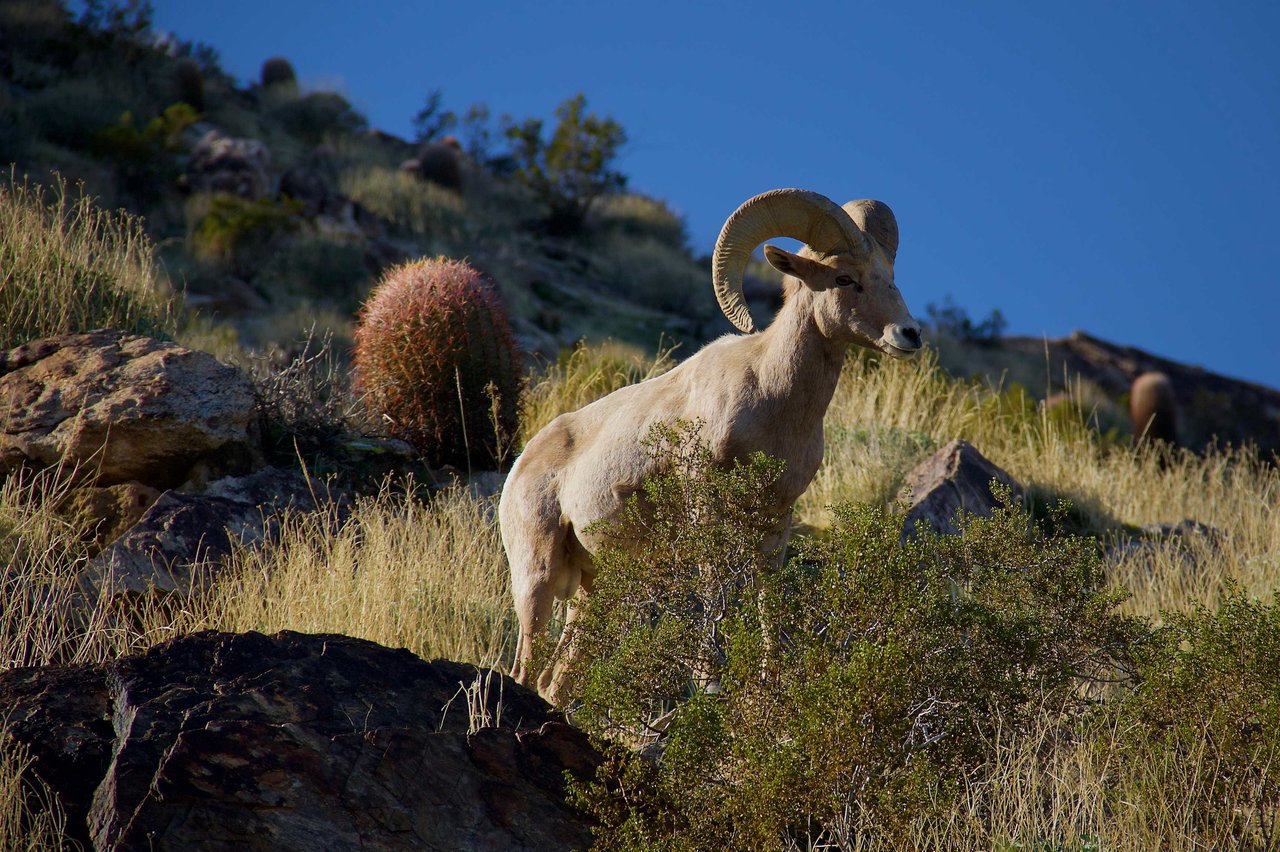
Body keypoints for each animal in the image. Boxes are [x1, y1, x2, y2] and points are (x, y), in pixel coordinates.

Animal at [494, 188, 926, 695]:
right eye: (844, 278)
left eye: (888, 276)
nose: (909, 334)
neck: (771, 398)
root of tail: (522, 465)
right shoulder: (705, 503)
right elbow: (711, 583)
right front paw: (710, 682)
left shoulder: (775, 520)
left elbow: (767, 598)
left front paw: (770, 681)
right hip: (537, 577)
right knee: (525, 665)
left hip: (595, 589)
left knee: (554, 679)